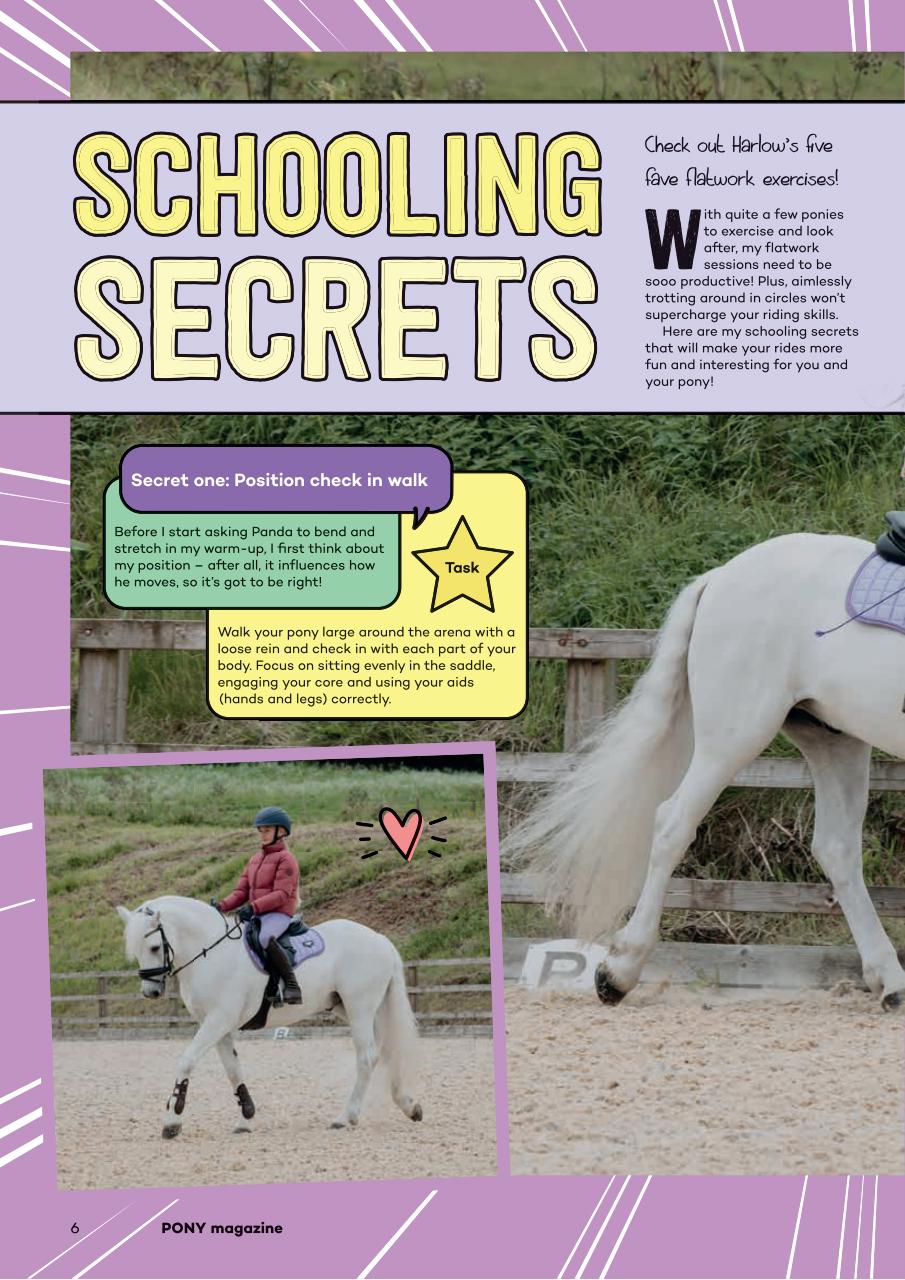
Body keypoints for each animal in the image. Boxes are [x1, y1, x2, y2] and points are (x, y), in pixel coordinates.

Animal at [115, 896, 423, 1137]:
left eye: (154, 947)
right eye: (136, 951)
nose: (151, 992)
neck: (210, 954)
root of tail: (379, 939)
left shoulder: (218, 1020)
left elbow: (187, 1061)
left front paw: (172, 1120)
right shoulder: (217, 1025)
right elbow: (233, 1070)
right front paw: (246, 1118)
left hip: (360, 1006)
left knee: (367, 1057)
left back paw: (346, 1117)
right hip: (354, 1008)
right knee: (387, 1051)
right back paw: (410, 1106)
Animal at [507, 532, 905, 1011]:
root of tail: (721, 576)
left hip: (834, 739)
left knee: (837, 848)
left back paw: (890, 981)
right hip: (733, 736)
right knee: (672, 825)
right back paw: (619, 972)